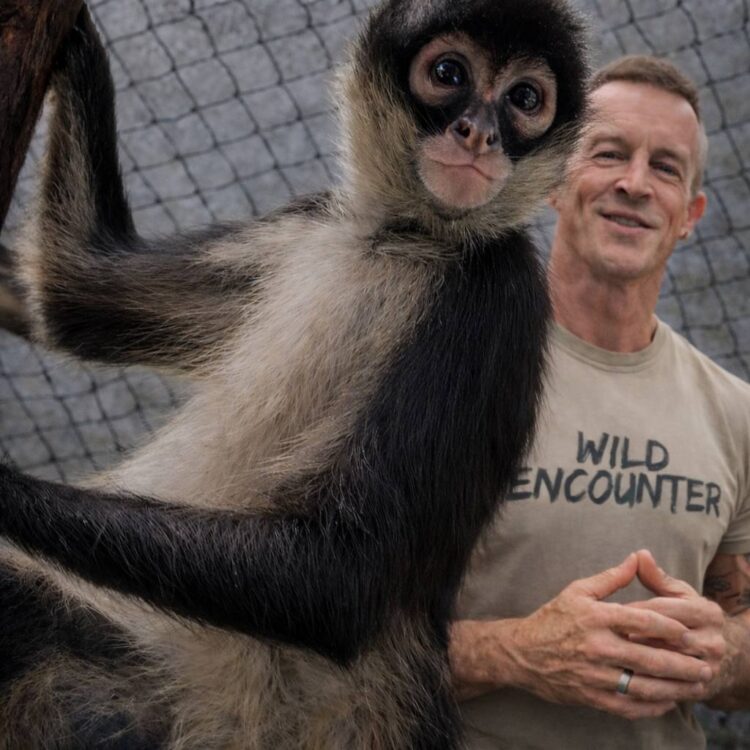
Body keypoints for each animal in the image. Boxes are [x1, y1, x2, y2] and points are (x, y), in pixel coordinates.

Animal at [0, 0, 588, 747]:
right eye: (450, 74)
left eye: (525, 100)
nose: (479, 133)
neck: (406, 238)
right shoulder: (311, 219)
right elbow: (76, 285)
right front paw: (73, 33)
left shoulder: (499, 290)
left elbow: (339, 582)